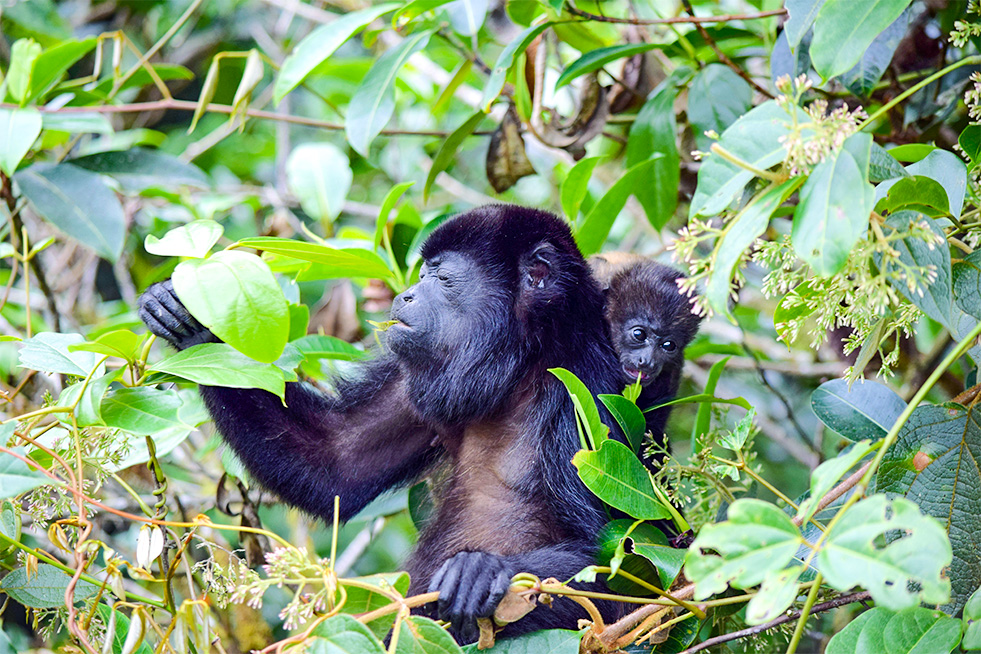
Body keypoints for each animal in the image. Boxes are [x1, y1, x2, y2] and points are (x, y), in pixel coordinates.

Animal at [139, 205, 628, 643]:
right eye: (422, 274)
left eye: (442, 279)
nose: (405, 295)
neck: (523, 363)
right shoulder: (414, 380)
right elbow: (337, 463)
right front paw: (193, 324)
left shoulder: (582, 389)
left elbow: (612, 577)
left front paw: (489, 573)